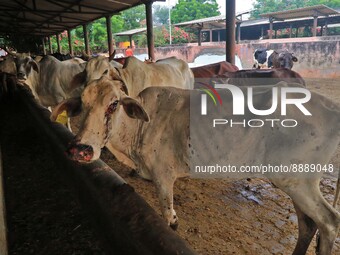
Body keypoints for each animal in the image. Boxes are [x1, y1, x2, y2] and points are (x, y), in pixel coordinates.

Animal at [53, 76, 340, 255]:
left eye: (113, 104)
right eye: (81, 104)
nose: (80, 149)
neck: (140, 127)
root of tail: (332, 106)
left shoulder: (163, 176)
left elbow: (169, 220)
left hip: (298, 182)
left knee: (329, 222)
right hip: (295, 183)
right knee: (308, 224)